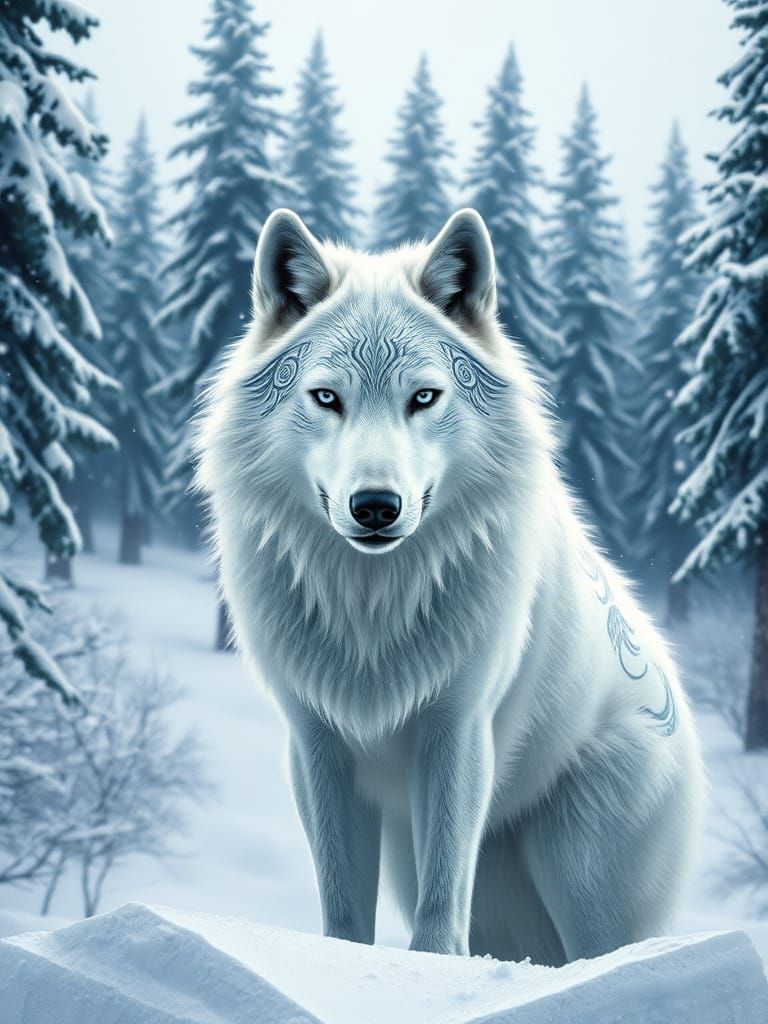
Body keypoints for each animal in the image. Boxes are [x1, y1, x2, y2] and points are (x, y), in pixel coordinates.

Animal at [196, 208, 704, 966]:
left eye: (424, 398)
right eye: (327, 398)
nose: (376, 506)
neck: (372, 610)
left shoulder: (457, 730)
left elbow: (441, 908)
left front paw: (427, 969)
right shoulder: (317, 744)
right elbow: (343, 906)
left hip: (581, 870)